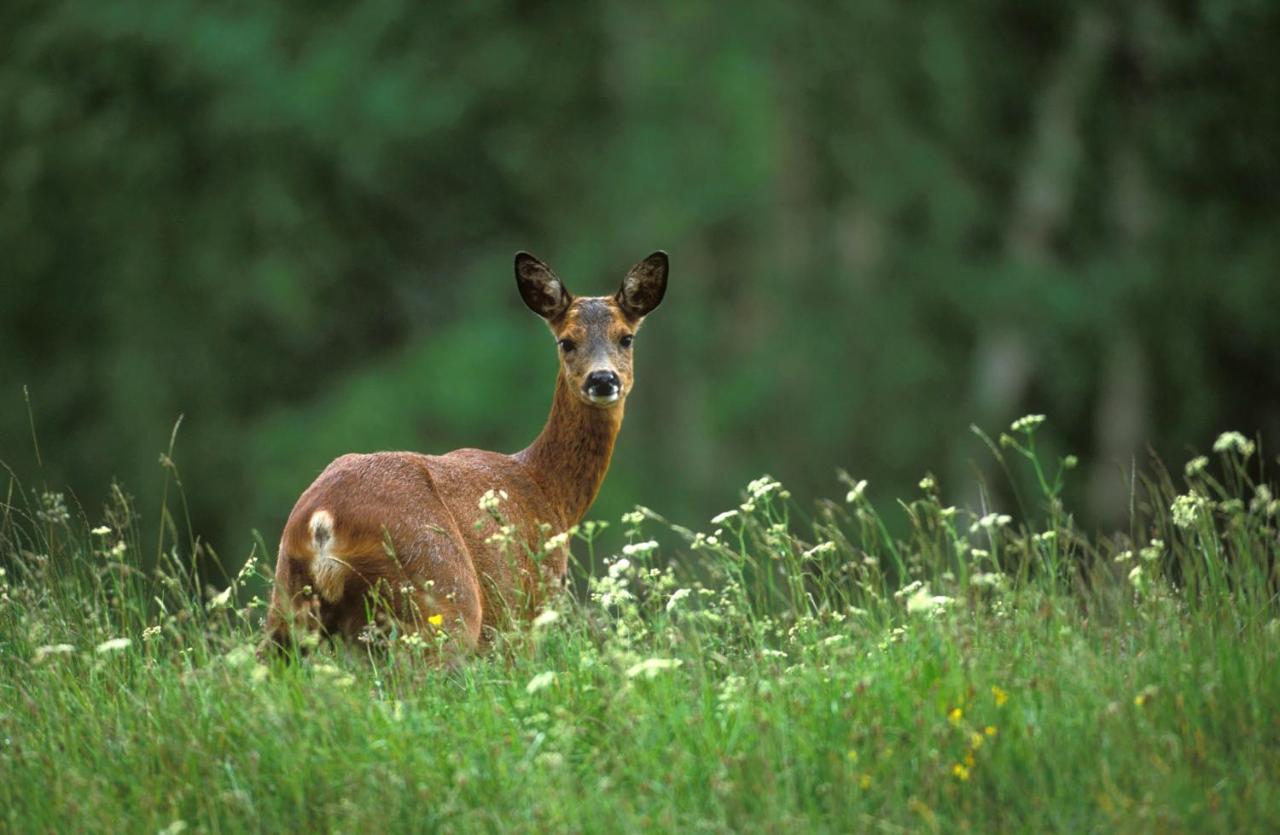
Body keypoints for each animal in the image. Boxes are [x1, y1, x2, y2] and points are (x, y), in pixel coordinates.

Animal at [259, 251, 670, 655]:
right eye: (566, 341)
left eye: (626, 338)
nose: (602, 379)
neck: (548, 491)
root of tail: (320, 522)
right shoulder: (523, 611)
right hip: (442, 595)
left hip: (287, 607)